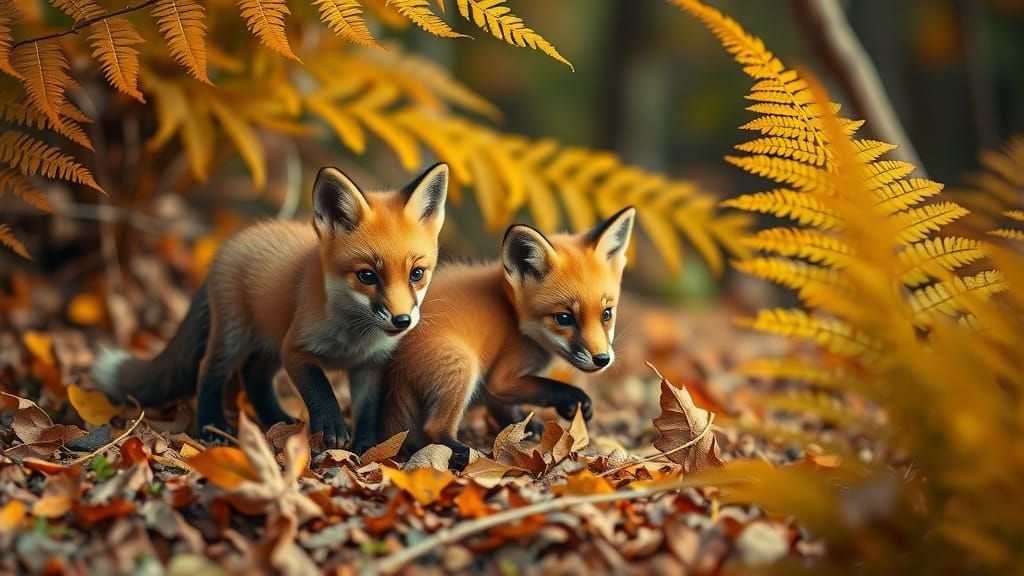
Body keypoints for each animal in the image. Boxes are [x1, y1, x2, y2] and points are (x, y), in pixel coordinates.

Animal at [92, 163, 449, 448]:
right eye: (367, 276)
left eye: (417, 274)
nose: (402, 321)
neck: (352, 339)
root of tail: (235, 241)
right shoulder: (296, 349)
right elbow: (321, 390)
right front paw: (332, 428)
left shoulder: (370, 365)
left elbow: (368, 411)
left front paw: (365, 446)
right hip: (235, 336)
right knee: (209, 370)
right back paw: (211, 426)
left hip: (269, 344)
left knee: (253, 376)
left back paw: (277, 420)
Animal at [366, 206, 635, 467]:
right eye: (564, 318)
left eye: (607, 314)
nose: (602, 359)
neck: (514, 316)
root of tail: (396, 366)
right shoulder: (501, 378)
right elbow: (545, 388)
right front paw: (574, 399)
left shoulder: (496, 388)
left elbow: (505, 410)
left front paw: (525, 425)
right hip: (462, 364)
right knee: (433, 429)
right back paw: (462, 454)